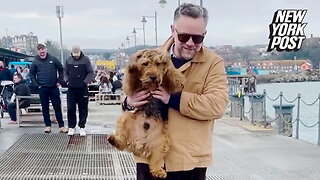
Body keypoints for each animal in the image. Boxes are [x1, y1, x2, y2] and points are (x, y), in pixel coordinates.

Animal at [107, 48, 184, 177]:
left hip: (161, 143)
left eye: (158, 64)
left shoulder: (171, 83)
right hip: (125, 117)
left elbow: (173, 77)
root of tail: (140, 143)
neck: (150, 87)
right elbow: (131, 80)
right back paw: (114, 140)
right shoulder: (132, 88)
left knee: (155, 161)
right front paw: (133, 68)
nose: (153, 77)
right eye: (145, 63)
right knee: (122, 141)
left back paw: (158, 172)